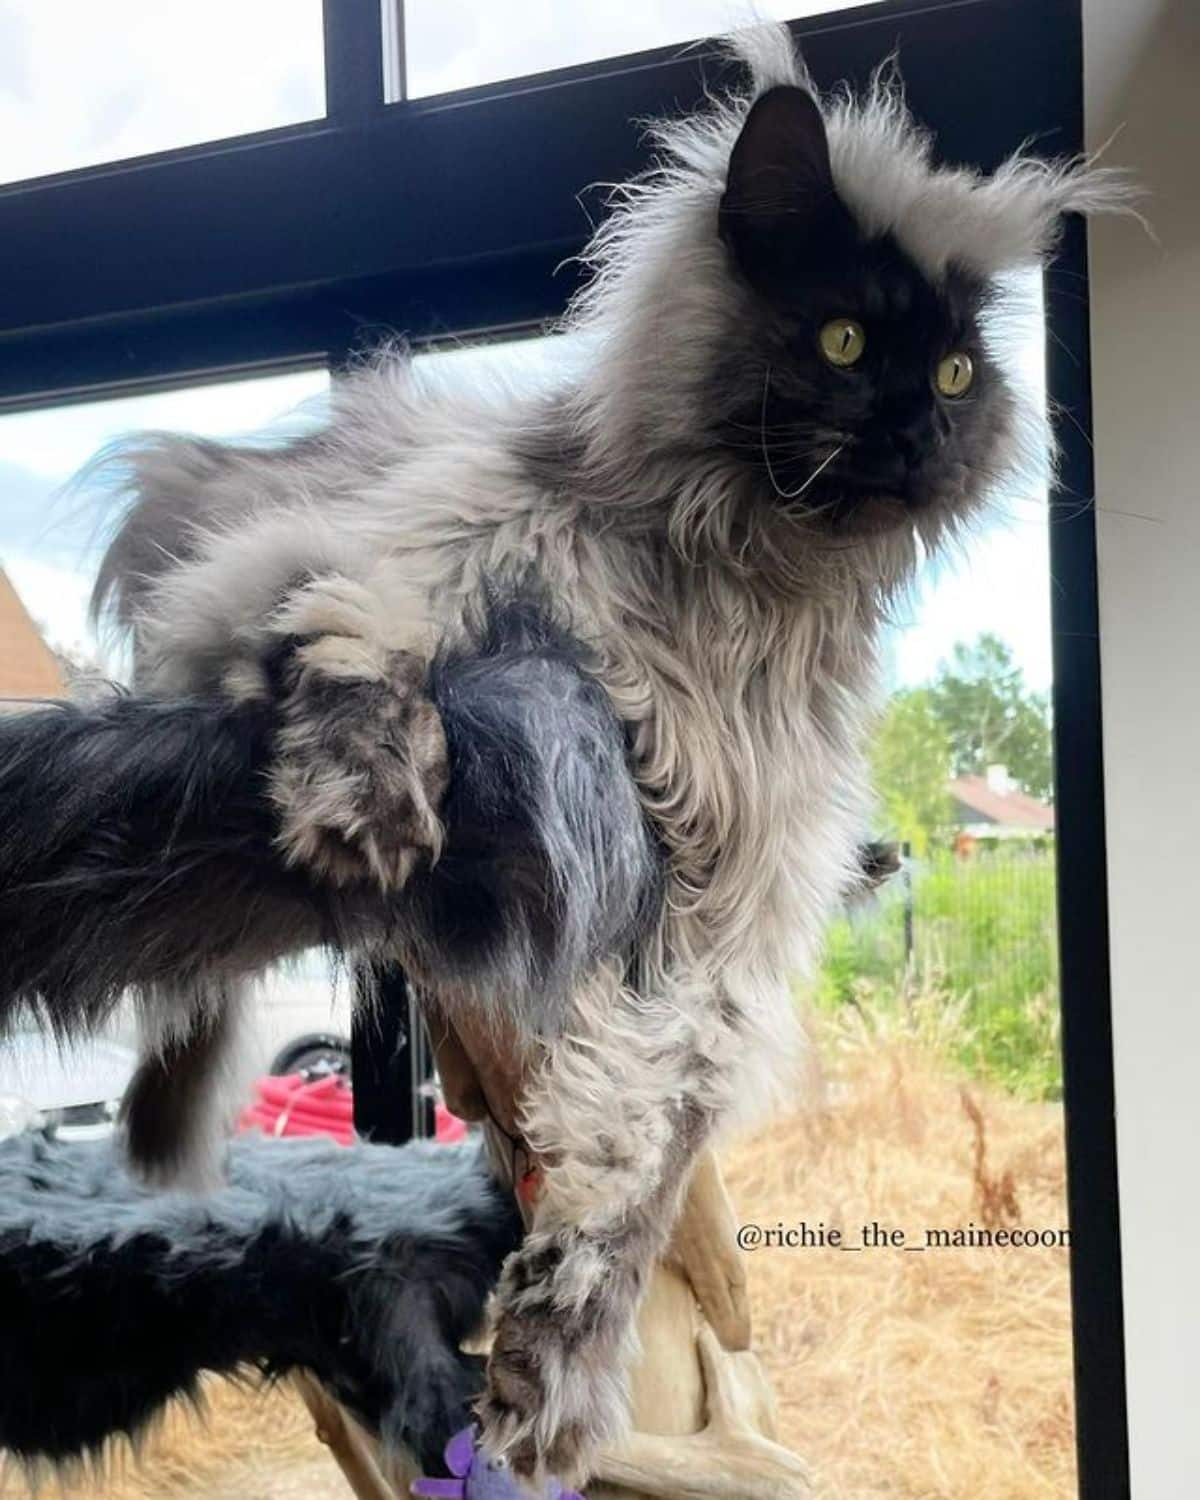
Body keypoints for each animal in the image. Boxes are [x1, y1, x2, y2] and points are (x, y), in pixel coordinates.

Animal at [77, 23, 1134, 1488]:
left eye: (959, 376)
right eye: (845, 338)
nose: (920, 432)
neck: (739, 592)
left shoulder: (727, 932)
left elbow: (631, 1171)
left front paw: (553, 1382)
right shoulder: (367, 554)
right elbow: (368, 640)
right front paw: (365, 793)